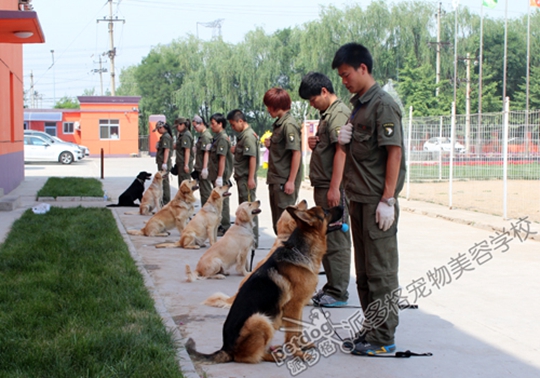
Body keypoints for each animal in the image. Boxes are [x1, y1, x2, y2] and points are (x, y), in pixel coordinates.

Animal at [188, 204, 344, 364]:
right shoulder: (294, 307)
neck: (299, 251)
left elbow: (298, 330)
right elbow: (293, 334)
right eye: (325, 211)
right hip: (260, 319)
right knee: (247, 356)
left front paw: (303, 345)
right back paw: (273, 355)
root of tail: (226, 348)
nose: (342, 205)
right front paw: (299, 354)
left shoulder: (298, 308)